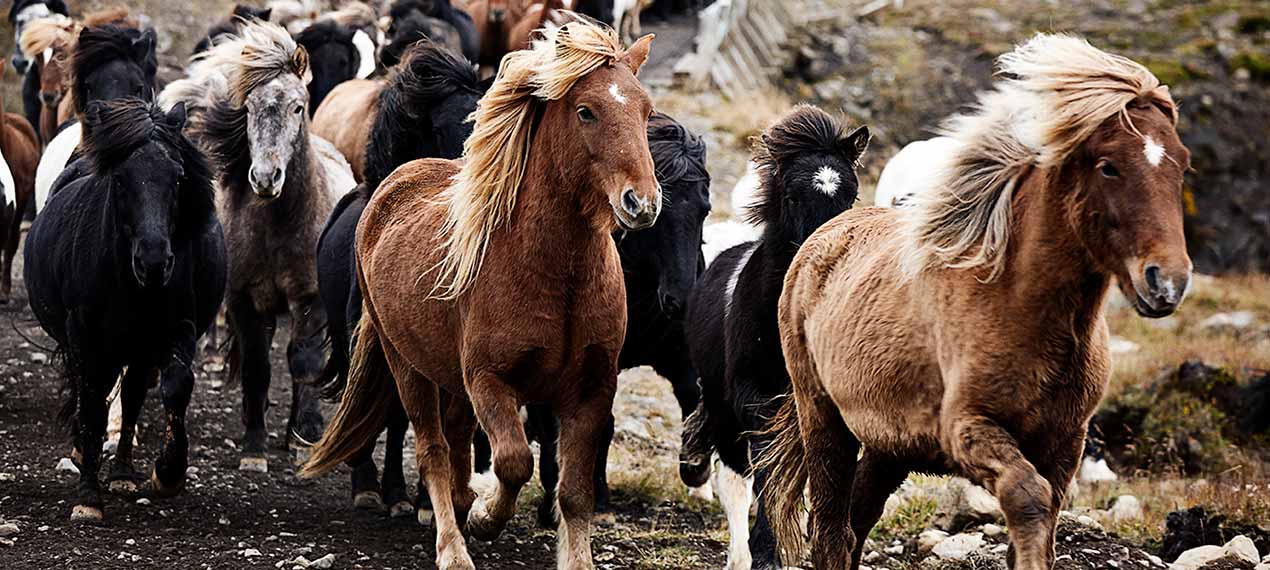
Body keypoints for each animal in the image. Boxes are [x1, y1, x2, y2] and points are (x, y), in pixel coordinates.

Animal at [23, 98, 226, 524]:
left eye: (178, 177)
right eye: (120, 180)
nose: (154, 261)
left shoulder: (177, 327)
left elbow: (176, 386)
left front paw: (168, 473)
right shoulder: (85, 336)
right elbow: (91, 404)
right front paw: (88, 497)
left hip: (137, 346)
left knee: (131, 396)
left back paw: (121, 473)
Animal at [188, 21, 355, 473]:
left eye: (298, 107)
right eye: (248, 108)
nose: (265, 178)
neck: (279, 226)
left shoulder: (311, 299)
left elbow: (305, 363)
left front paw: (302, 437)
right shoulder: (245, 300)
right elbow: (257, 368)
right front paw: (254, 447)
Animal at [508, 111, 711, 529]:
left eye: (705, 209)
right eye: (658, 217)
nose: (681, 299)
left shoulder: (677, 352)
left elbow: (692, 393)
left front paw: (695, 467)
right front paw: (584, 499)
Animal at [676, 105, 868, 570]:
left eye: (850, 198)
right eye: (794, 195)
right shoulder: (755, 401)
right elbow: (768, 473)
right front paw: (769, 552)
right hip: (722, 405)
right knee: (735, 479)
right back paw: (740, 556)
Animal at [759, 35, 1191, 570]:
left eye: (1182, 164)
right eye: (1109, 166)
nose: (1166, 282)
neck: (1019, 309)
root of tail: (821, 238)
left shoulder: (1065, 444)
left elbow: (1044, 521)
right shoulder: (968, 430)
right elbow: (1027, 497)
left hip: (888, 445)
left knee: (856, 520)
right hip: (822, 418)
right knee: (829, 529)